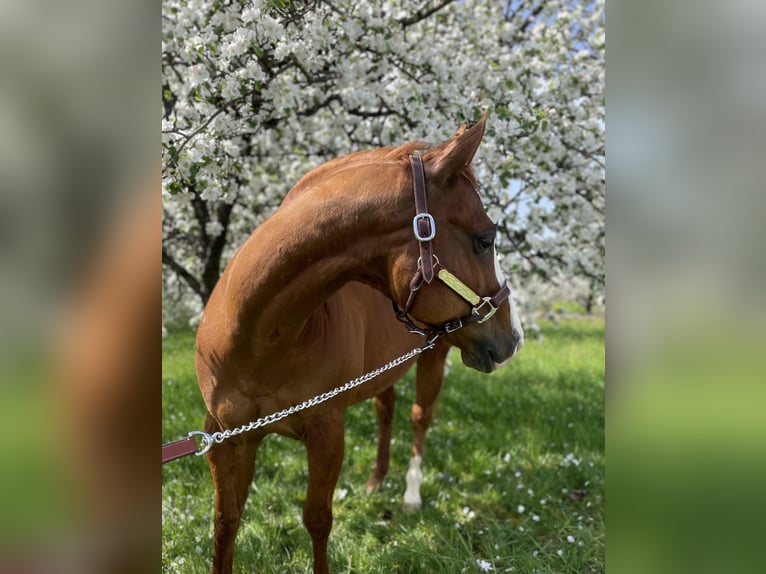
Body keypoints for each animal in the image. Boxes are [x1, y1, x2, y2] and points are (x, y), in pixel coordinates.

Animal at [195, 113, 524, 574]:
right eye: (485, 239)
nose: (513, 337)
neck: (260, 338)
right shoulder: (226, 438)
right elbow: (226, 523)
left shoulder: (327, 430)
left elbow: (317, 519)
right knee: (387, 409)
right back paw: (375, 481)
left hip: (436, 353)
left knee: (420, 417)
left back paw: (409, 496)